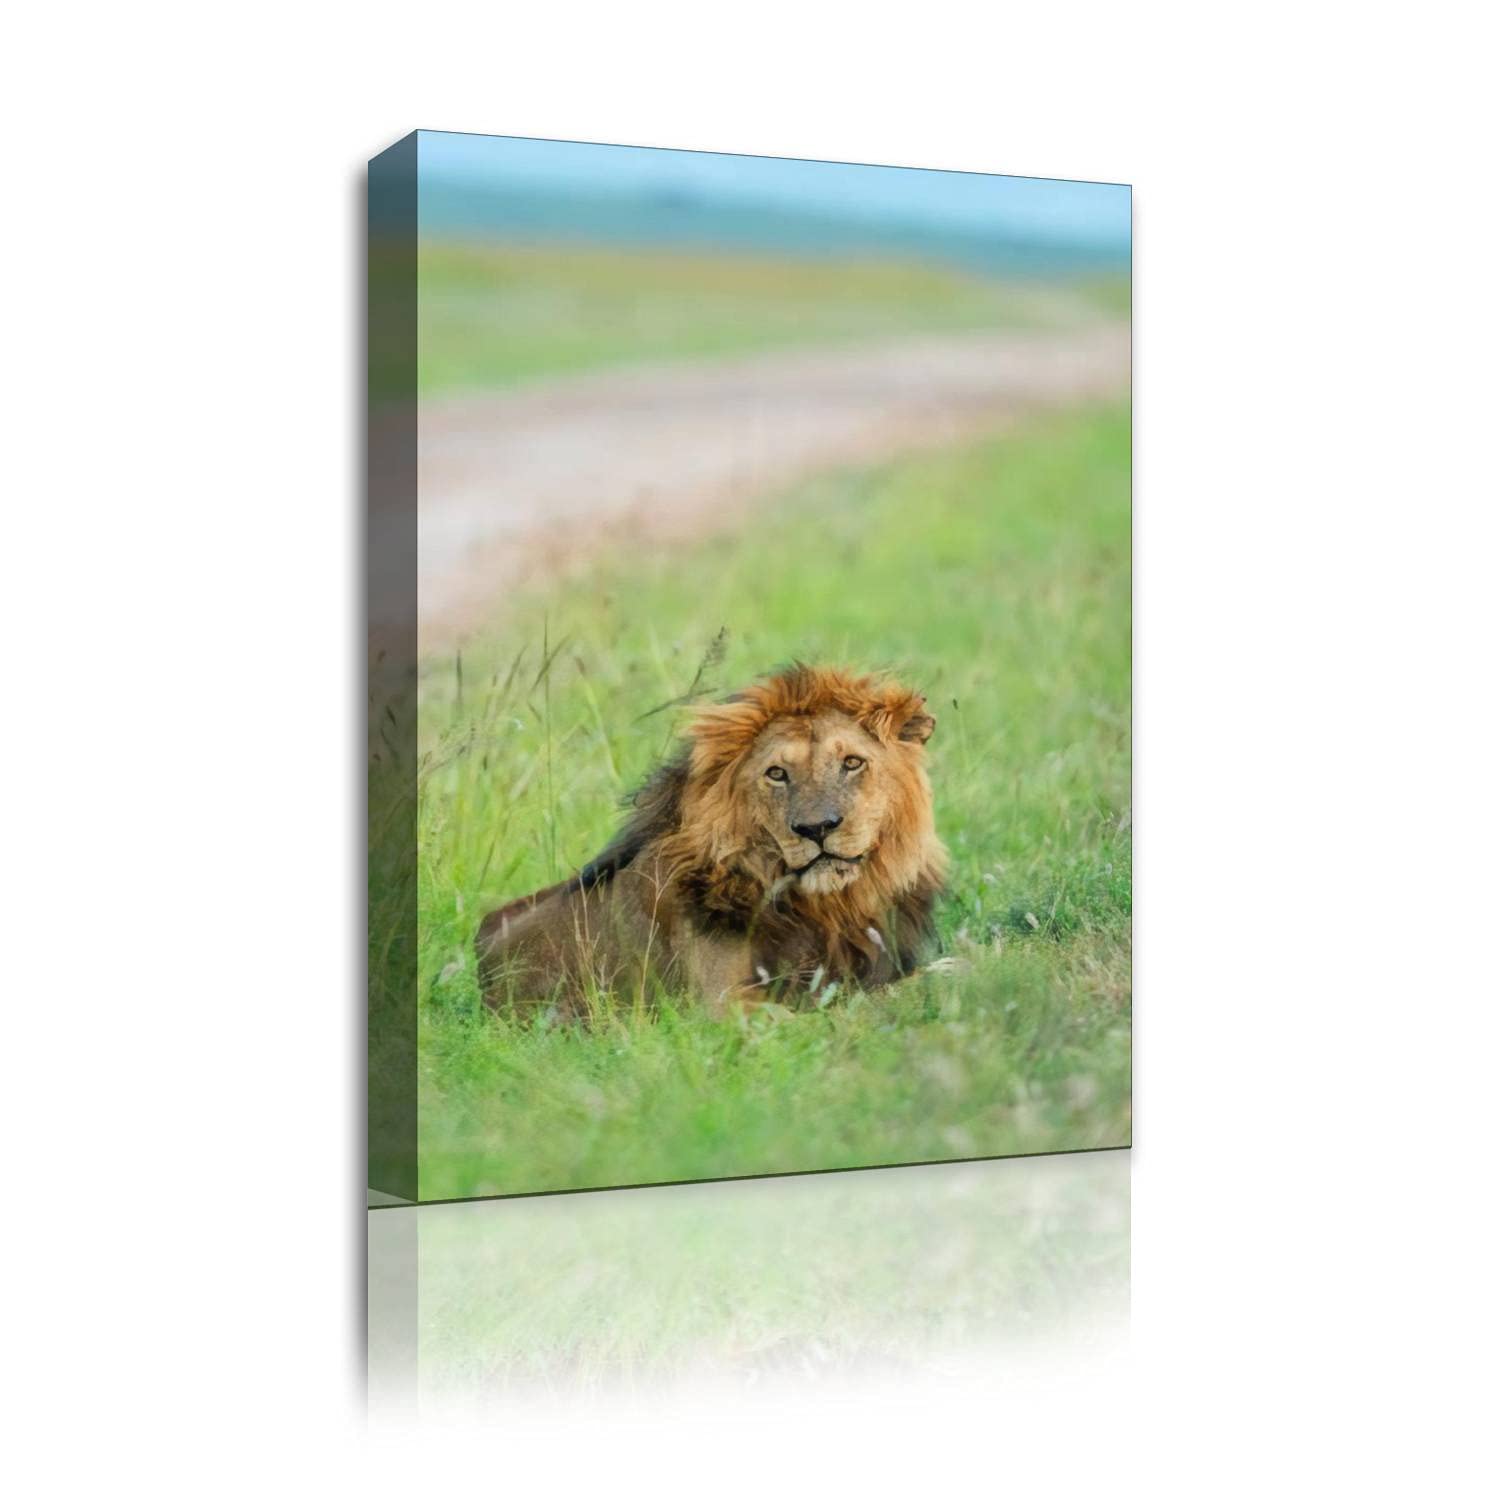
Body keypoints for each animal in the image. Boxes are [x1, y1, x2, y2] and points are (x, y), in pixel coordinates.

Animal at [476, 664, 948, 1018]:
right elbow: (839, 1008)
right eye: (777, 773)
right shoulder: (720, 1006)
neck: (828, 907)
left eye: (852, 763)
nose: (816, 828)